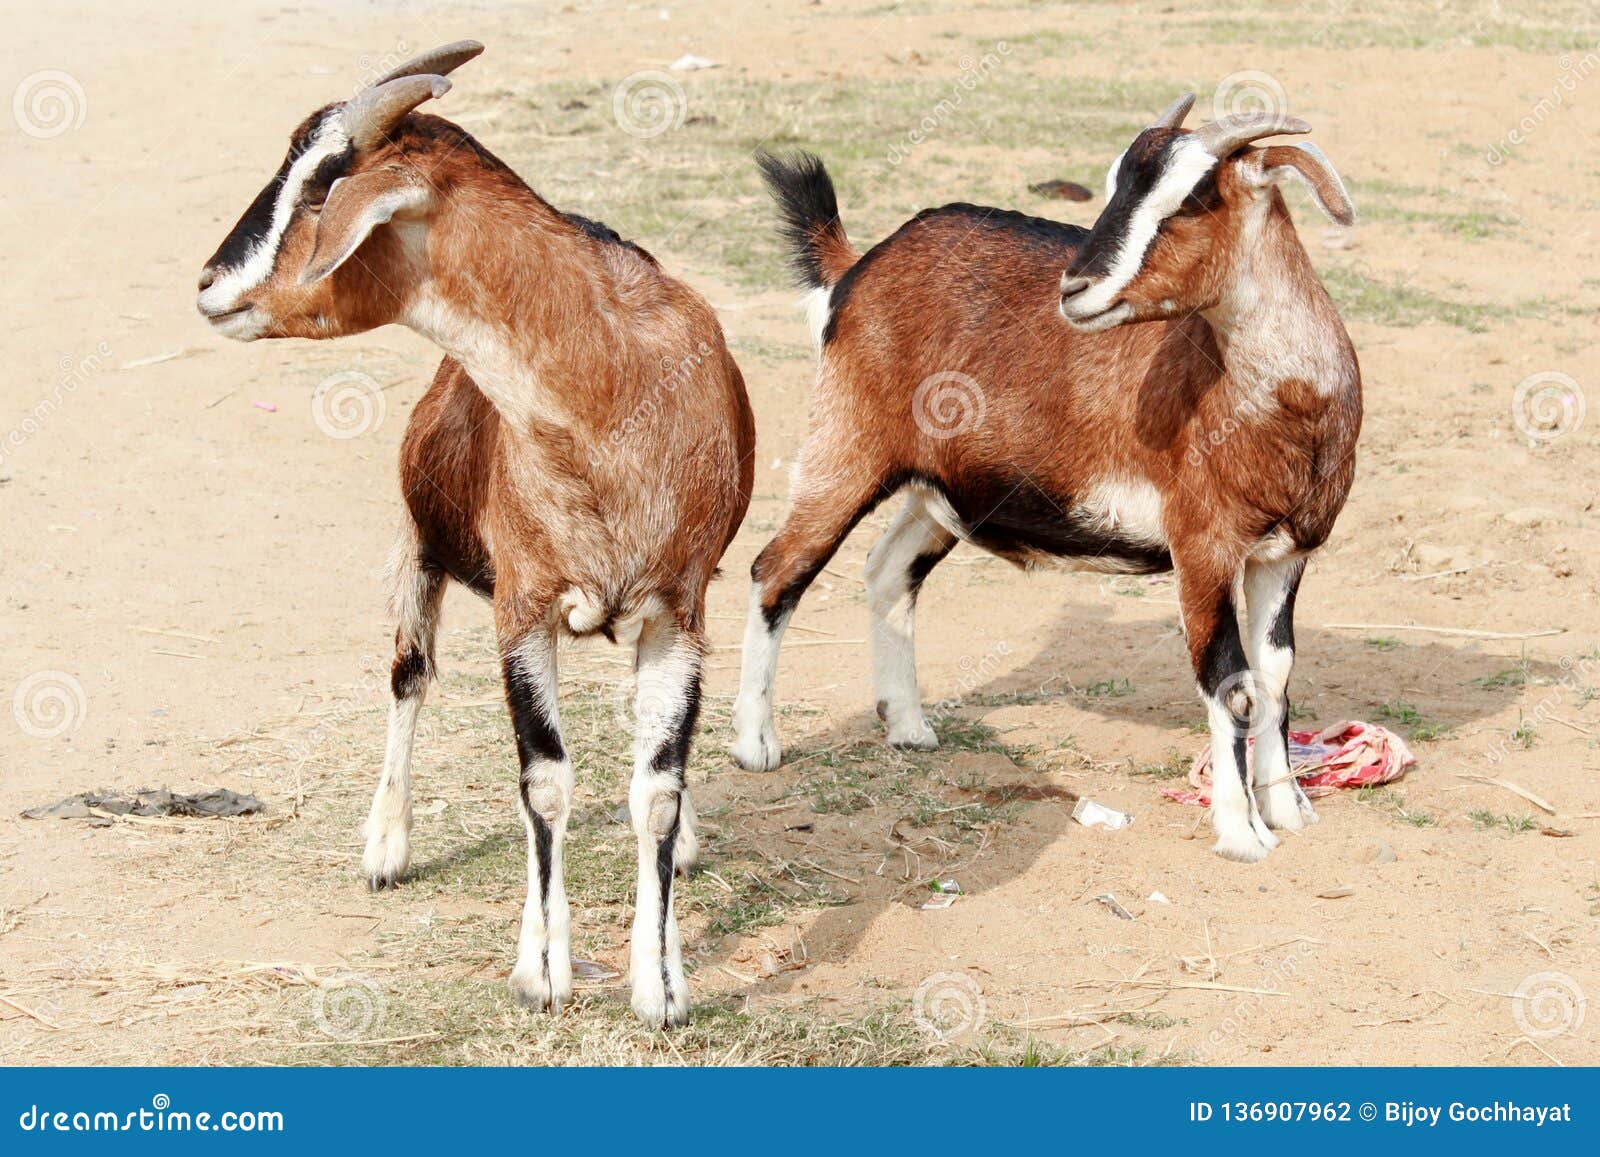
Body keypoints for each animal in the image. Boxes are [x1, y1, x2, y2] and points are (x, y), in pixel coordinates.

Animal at [197, 42, 755, 1026]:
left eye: (323, 183)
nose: (209, 286)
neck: (606, 398)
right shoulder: (522, 609)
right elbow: (545, 779)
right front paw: (542, 970)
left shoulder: (678, 610)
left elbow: (655, 789)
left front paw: (661, 984)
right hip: (420, 550)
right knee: (409, 674)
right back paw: (385, 844)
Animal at [735, 94, 1360, 864]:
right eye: (1115, 182)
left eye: (1194, 197)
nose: (1076, 288)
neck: (1286, 402)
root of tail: (857, 267)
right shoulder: (1202, 548)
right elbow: (1230, 683)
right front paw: (1241, 832)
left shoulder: (1284, 553)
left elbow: (1274, 677)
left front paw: (1289, 808)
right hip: (846, 446)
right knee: (777, 568)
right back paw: (756, 744)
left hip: (939, 491)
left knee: (887, 570)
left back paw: (907, 725)